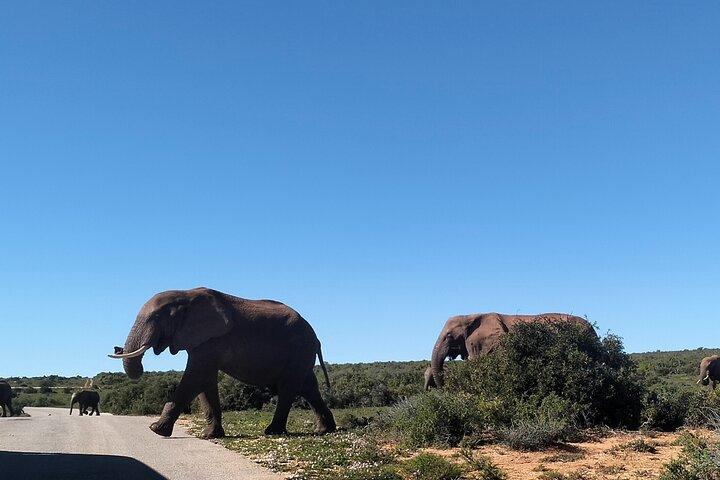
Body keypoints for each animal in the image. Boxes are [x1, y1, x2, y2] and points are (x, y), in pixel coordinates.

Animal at [109, 287, 336, 438]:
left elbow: (195, 377)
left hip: (299, 349)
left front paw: (156, 430)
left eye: (156, 318)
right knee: (308, 387)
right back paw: (324, 430)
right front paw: (210, 436)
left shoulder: (211, 340)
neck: (184, 295)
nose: (117, 349)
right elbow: (206, 382)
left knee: (289, 387)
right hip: (302, 354)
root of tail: (316, 337)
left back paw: (272, 432)